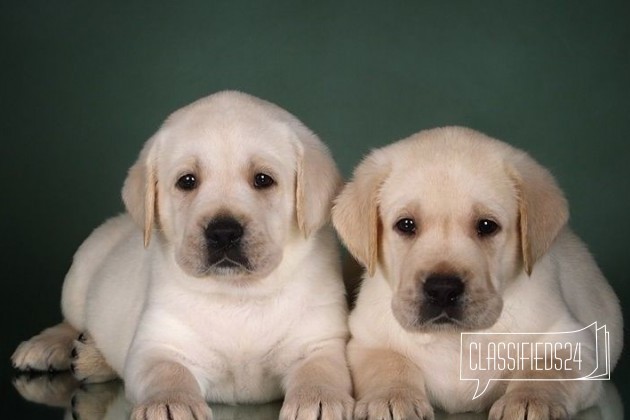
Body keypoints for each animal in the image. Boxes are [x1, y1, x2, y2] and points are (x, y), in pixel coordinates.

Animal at [12, 91, 356, 420]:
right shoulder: (159, 344)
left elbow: (320, 368)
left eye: (263, 179)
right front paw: (169, 402)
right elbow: (166, 371)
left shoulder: (318, 341)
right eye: (187, 181)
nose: (223, 233)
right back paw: (48, 347)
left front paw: (319, 398)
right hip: (81, 271)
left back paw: (89, 358)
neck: (238, 293)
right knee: (70, 321)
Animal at [334, 125, 624, 420]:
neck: (455, 339)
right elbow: (388, 362)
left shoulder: (573, 344)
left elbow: (545, 368)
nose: (442, 290)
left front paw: (529, 400)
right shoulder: (366, 339)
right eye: (405, 225)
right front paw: (392, 397)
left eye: (486, 226)